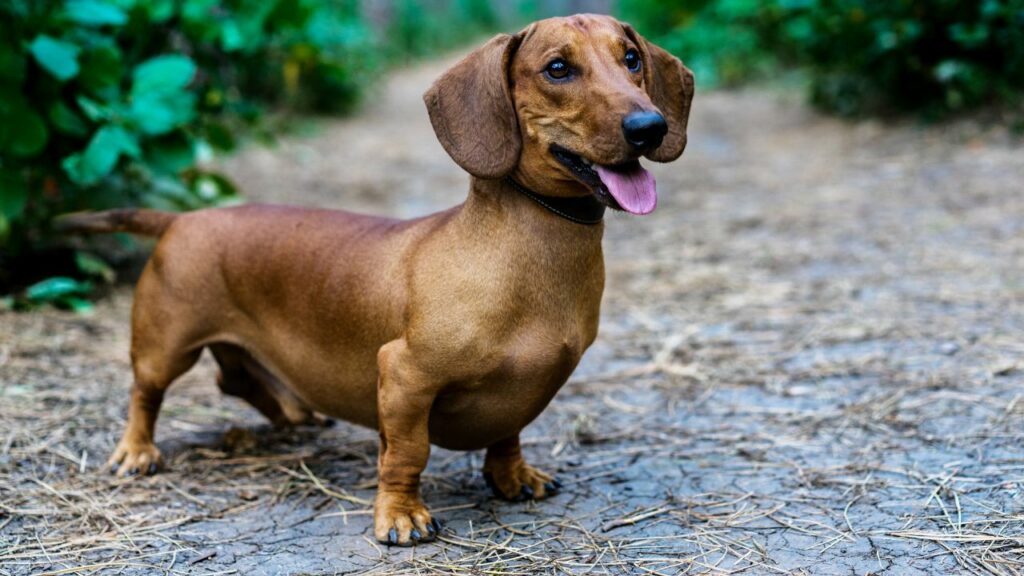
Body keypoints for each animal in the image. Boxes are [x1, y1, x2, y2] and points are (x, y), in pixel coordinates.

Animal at [59, 13, 692, 541]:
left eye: (631, 58)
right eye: (558, 68)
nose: (649, 126)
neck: (522, 250)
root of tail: (183, 218)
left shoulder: (522, 394)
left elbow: (507, 433)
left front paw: (514, 477)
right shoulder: (404, 376)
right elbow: (406, 454)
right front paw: (402, 516)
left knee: (234, 379)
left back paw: (292, 414)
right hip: (166, 345)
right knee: (146, 392)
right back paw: (137, 451)